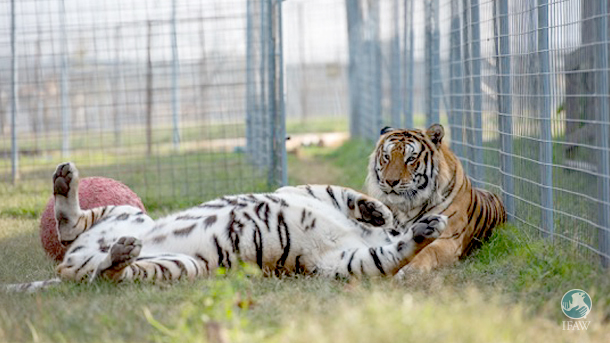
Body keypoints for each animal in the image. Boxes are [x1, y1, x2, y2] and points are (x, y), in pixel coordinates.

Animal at [3, 163, 442, 292]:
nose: (384, 221)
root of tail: (68, 266)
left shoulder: (345, 262)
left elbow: (388, 255)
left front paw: (422, 228)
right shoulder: (297, 189)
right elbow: (340, 191)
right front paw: (378, 211)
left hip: (180, 263)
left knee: (98, 269)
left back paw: (120, 252)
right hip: (129, 213)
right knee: (71, 233)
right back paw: (65, 180)